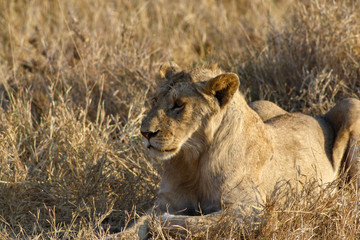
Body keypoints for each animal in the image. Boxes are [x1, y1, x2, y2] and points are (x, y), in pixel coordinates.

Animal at [119, 62, 360, 239]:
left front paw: (162, 221)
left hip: (351, 104)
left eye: (179, 104)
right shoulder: (167, 200)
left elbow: (193, 222)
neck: (194, 159)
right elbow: (138, 222)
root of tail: (313, 115)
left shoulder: (253, 209)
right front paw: (119, 234)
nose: (145, 133)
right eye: (154, 100)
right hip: (261, 102)